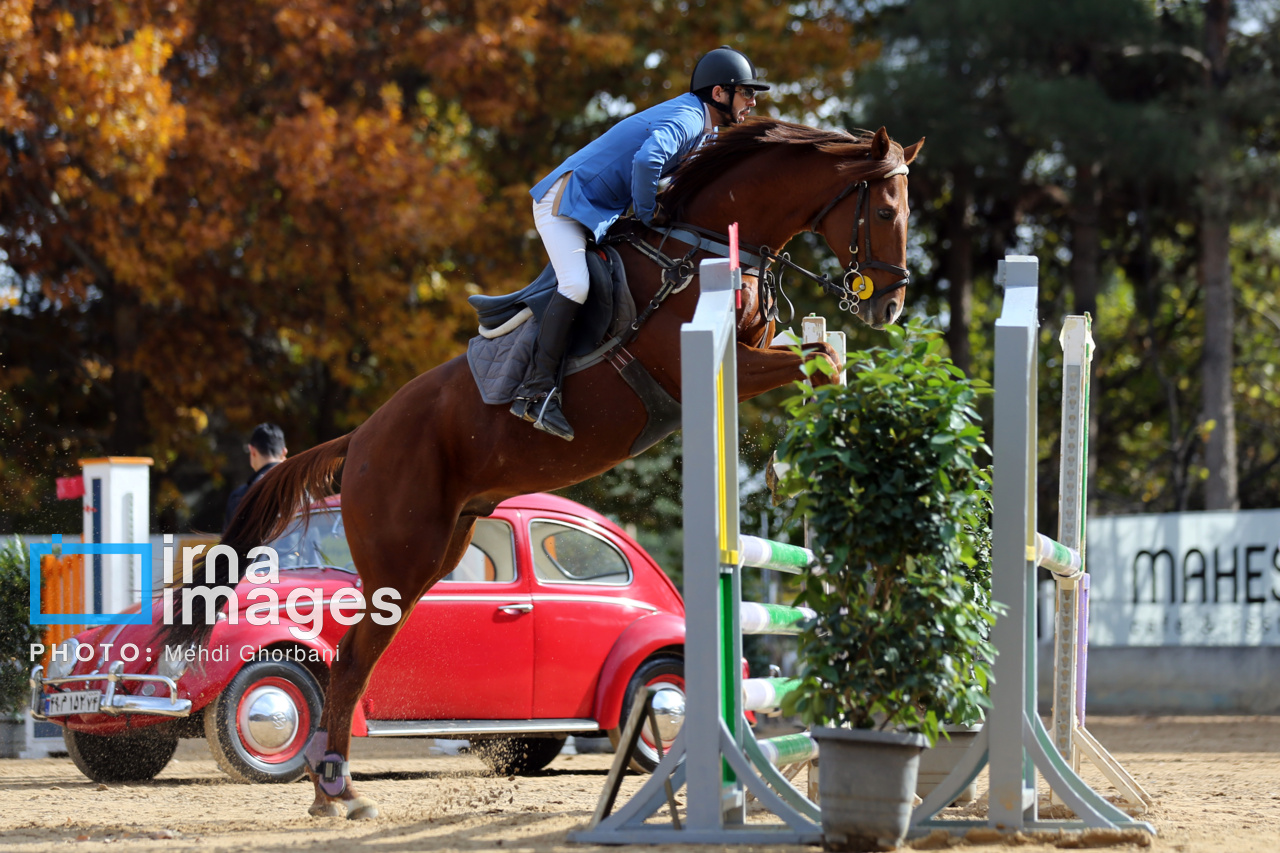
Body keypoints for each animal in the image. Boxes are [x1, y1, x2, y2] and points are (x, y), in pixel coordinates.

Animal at [162, 116, 921, 814]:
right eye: (886, 212)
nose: (890, 304)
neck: (702, 246)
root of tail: (362, 437)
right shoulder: (704, 366)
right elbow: (818, 362)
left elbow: (823, 358)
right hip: (401, 555)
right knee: (347, 662)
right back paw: (336, 790)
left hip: (438, 553)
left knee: (359, 656)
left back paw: (336, 790)